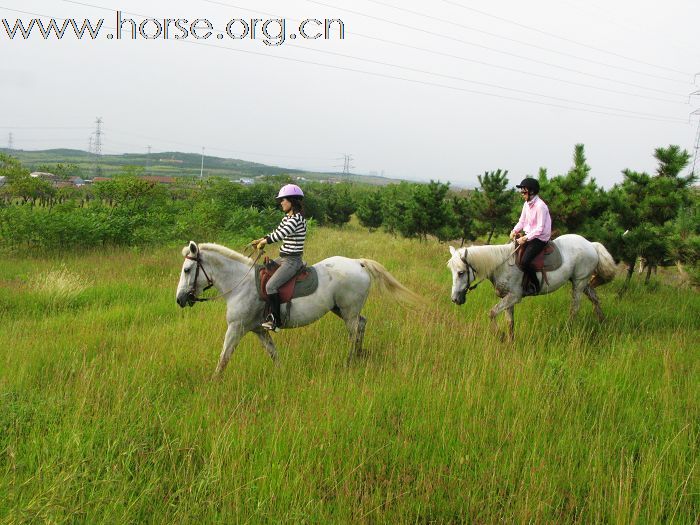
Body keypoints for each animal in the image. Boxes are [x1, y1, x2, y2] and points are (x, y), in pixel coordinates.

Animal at [175, 242, 422, 376]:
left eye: (187, 269)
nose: (179, 299)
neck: (240, 284)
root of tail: (358, 262)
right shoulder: (259, 330)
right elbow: (273, 353)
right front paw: (281, 373)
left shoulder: (236, 328)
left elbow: (224, 356)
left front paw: (214, 380)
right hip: (341, 310)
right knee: (362, 324)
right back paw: (359, 357)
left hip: (348, 312)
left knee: (354, 332)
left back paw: (350, 361)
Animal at [448, 234, 616, 340]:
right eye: (452, 271)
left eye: (461, 273)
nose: (455, 299)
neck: (502, 265)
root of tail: (591, 244)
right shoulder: (507, 298)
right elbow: (510, 322)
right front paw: (510, 341)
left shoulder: (514, 296)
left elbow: (492, 313)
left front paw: (500, 336)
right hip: (584, 282)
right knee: (595, 300)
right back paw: (603, 324)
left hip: (579, 283)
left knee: (575, 308)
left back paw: (567, 330)